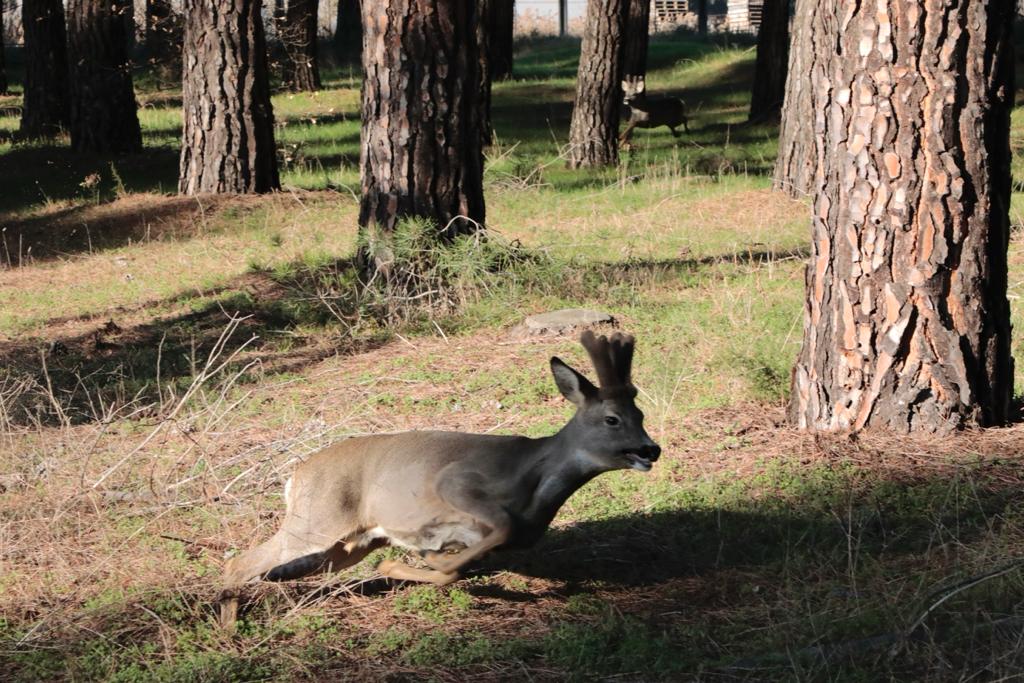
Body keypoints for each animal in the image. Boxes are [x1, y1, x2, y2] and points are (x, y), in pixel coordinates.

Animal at [220, 329, 659, 626]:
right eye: (612, 419)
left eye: (640, 415)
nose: (651, 449)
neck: (532, 483)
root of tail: (295, 475)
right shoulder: (457, 483)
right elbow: (483, 539)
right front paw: (409, 563)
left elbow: (455, 568)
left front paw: (413, 562)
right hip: (317, 519)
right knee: (238, 562)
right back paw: (229, 626)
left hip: (348, 544)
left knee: (279, 565)